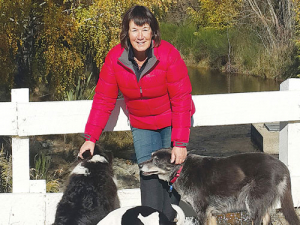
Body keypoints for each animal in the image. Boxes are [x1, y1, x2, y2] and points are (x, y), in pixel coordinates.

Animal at [139, 149, 300, 224]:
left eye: (156, 160)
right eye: (151, 156)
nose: (139, 164)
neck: (181, 170)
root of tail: (282, 166)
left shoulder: (202, 212)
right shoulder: (211, 214)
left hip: (253, 204)